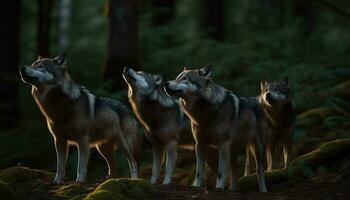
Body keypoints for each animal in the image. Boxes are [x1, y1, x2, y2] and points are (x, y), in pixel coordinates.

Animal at [19, 52, 140, 183]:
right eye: (32, 64)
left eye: (40, 66)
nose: (22, 67)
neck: (59, 105)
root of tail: (127, 109)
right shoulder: (59, 141)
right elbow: (60, 166)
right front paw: (57, 182)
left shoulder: (82, 141)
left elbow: (80, 166)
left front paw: (79, 182)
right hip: (102, 148)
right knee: (114, 165)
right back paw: (109, 181)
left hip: (124, 145)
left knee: (133, 162)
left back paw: (134, 180)